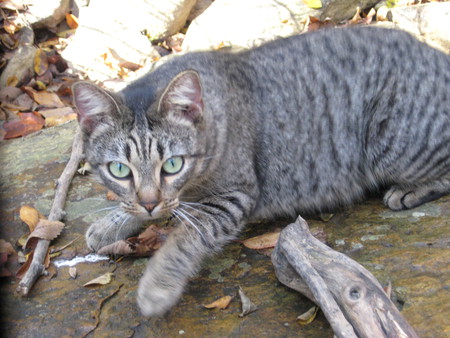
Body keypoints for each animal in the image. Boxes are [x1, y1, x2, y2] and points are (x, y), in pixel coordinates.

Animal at [72, 27, 448, 316]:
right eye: (119, 170)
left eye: (173, 165)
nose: (150, 203)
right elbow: (138, 207)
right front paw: (111, 224)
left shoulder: (232, 198)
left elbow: (182, 240)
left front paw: (157, 286)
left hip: (392, 147)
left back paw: (409, 189)